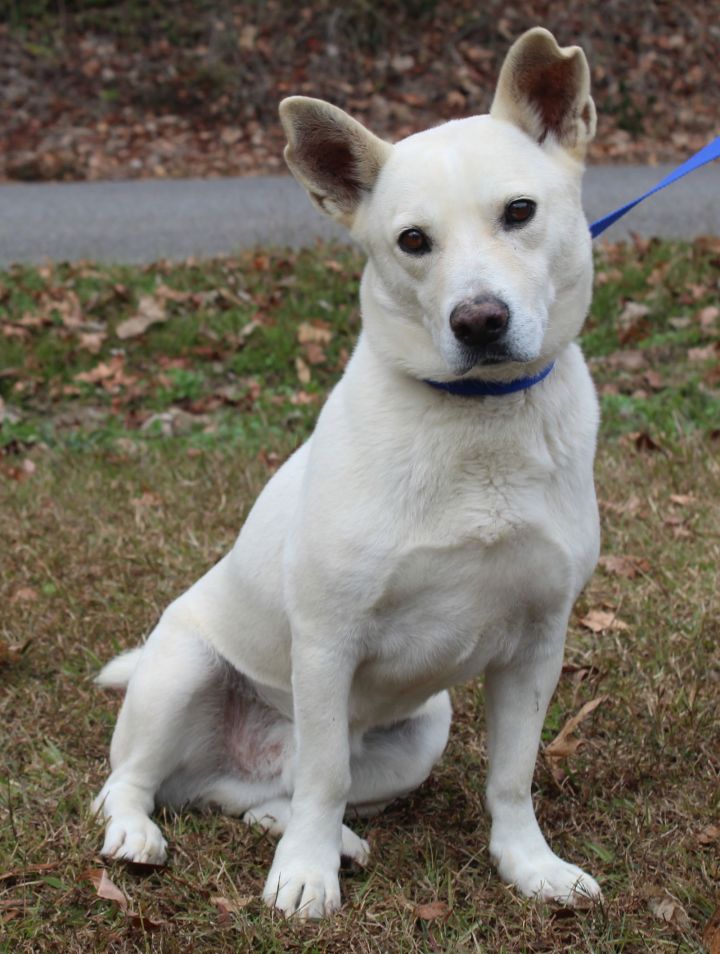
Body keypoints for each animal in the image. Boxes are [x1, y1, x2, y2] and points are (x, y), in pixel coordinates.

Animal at [93, 27, 604, 916]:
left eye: (519, 212)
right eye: (412, 241)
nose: (479, 321)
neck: (477, 423)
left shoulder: (539, 645)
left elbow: (511, 778)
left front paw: (529, 866)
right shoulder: (328, 642)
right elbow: (326, 775)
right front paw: (303, 877)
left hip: (424, 728)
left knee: (262, 795)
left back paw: (323, 834)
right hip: (184, 671)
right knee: (142, 782)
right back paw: (140, 834)